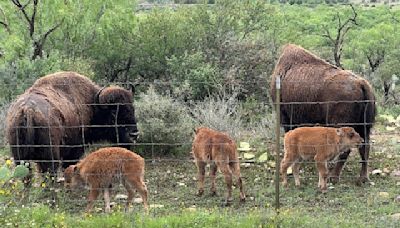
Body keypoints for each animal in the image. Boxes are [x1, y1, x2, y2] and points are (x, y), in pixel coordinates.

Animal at [5, 71, 140, 178]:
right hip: (49, 156)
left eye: (132, 108)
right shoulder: (75, 149)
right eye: (113, 113)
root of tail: (27, 110)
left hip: (19, 157)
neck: (92, 105)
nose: (134, 134)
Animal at [270, 44, 376, 183]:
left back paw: (333, 177)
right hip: (364, 126)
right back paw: (362, 178)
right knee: (365, 147)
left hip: (340, 124)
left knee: (346, 150)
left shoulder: (286, 117)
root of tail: (361, 83)